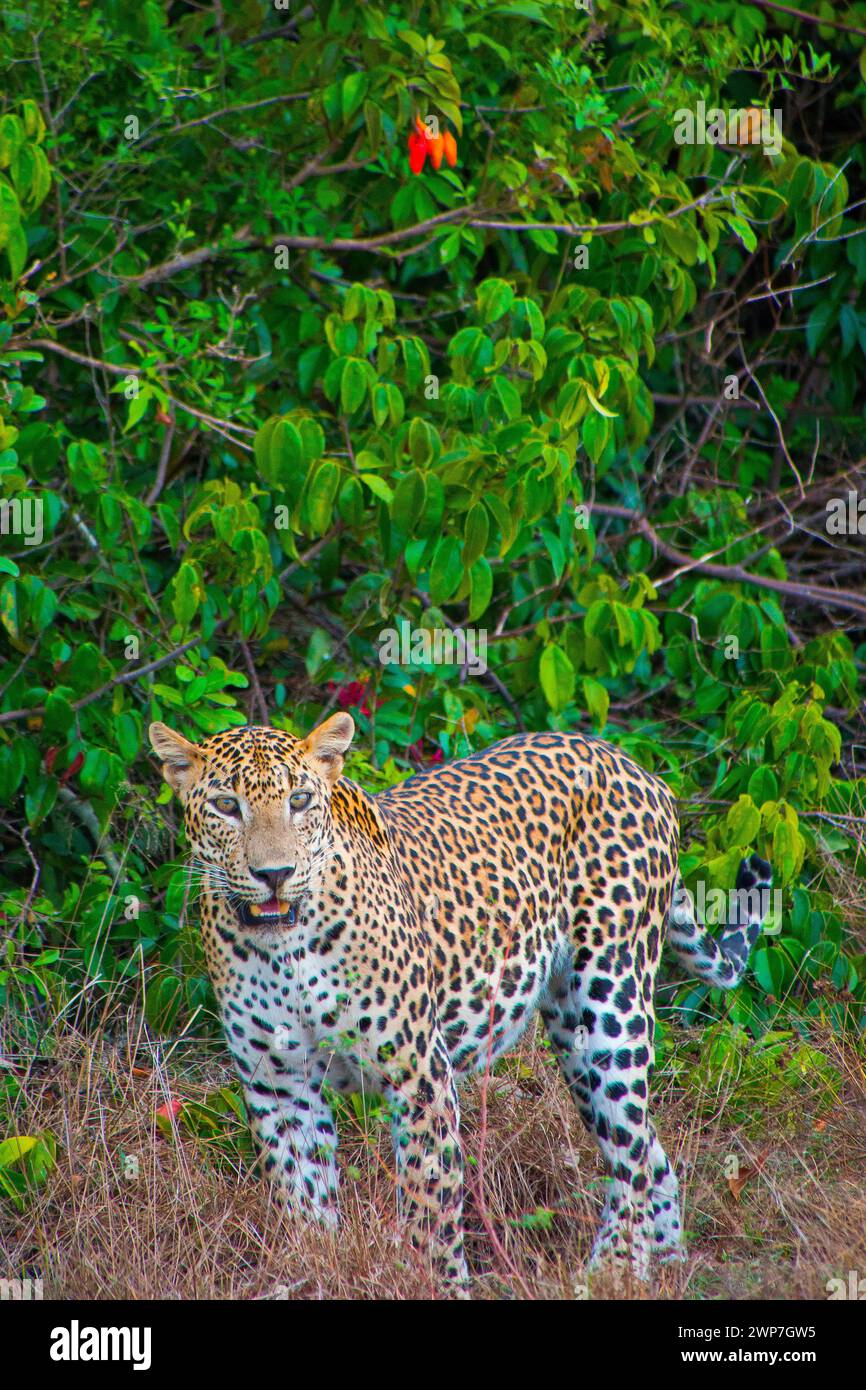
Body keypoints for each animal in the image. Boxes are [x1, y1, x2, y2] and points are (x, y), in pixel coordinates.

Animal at [149, 715, 771, 1290]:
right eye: (227, 806)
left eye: (298, 800)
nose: (274, 874)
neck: (283, 948)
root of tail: (630, 763)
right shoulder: (278, 1084)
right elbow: (303, 1202)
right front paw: (315, 1271)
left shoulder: (418, 1074)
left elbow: (430, 1204)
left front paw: (436, 1283)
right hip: (571, 1028)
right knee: (650, 1152)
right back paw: (658, 1266)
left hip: (610, 1005)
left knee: (633, 1155)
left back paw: (609, 1272)